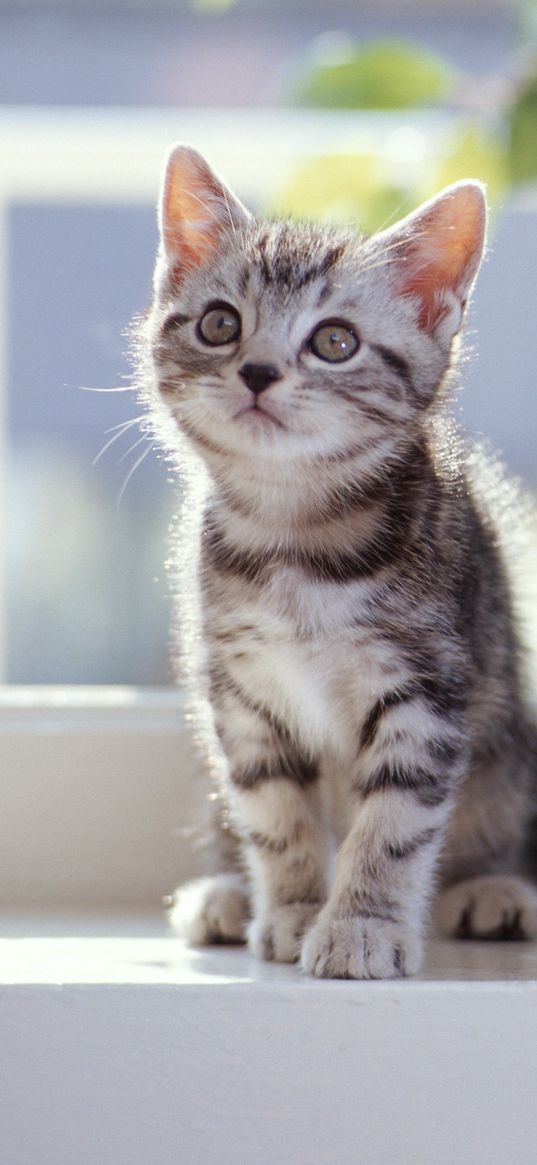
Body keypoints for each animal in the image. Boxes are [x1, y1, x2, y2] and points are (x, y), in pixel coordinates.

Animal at [140, 145, 535, 978]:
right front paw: (292, 907)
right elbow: (273, 810)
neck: (294, 538)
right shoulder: (243, 695)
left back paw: (491, 884)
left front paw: (362, 923)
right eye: (220, 324)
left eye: (334, 341)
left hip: (507, 743)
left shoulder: (424, 685)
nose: (257, 371)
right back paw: (226, 891)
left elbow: (392, 820)